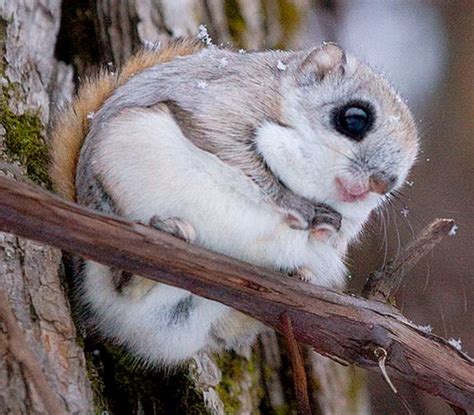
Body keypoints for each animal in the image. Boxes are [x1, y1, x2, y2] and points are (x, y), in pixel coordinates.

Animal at [48, 37, 418, 366]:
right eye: (355, 118)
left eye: (401, 176)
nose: (383, 183)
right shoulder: (224, 107)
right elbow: (241, 158)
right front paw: (297, 206)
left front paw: (325, 231)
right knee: (119, 283)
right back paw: (161, 239)